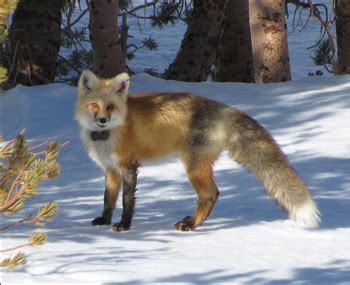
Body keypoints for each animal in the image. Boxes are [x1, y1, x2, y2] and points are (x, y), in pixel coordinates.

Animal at [75, 69, 322, 231]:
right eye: (94, 106)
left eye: (111, 107)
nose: (103, 121)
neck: (109, 134)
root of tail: (224, 109)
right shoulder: (110, 169)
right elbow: (108, 200)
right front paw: (104, 221)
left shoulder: (128, 166)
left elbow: (127, 200)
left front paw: (124, 225)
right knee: (213, 194)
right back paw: (195, 221)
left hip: (193, 167)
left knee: (211, 194)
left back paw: (192, 224)